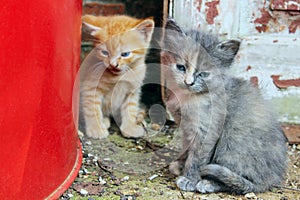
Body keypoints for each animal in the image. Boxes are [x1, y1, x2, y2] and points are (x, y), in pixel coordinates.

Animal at [162, 19, 288, 195]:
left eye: (203, 74)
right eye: (181, 67)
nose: (189, 82)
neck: (189, 98)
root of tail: (272, 178)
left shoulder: (207, 129)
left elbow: (197, 158)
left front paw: (190, 179)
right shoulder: (186, 126)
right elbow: (187, 149)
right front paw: (181, 165)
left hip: (231, 140)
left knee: (246, 183)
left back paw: (209, 183)